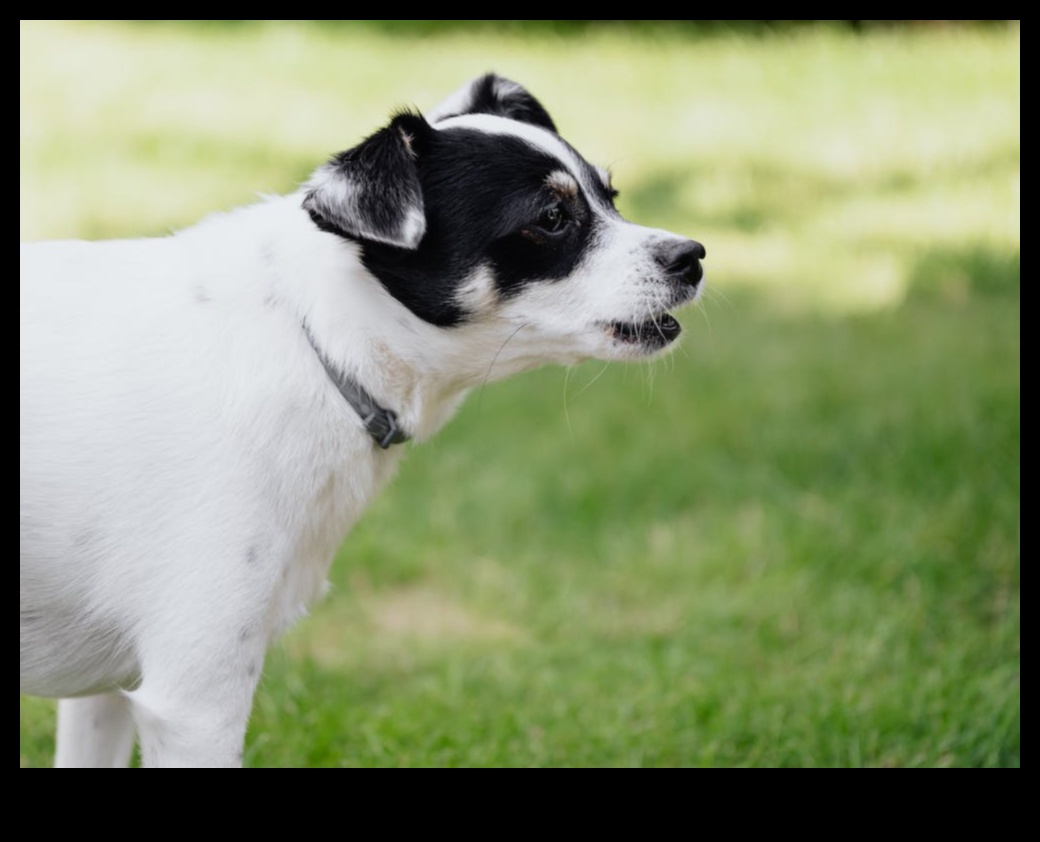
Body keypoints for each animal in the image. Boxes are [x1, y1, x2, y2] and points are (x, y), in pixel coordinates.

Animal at [18, 75, 707, 765]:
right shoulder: (196, 701)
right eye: (552, 217)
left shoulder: (107, 692)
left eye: (611, 197)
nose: (694, 256)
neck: (317, 340)